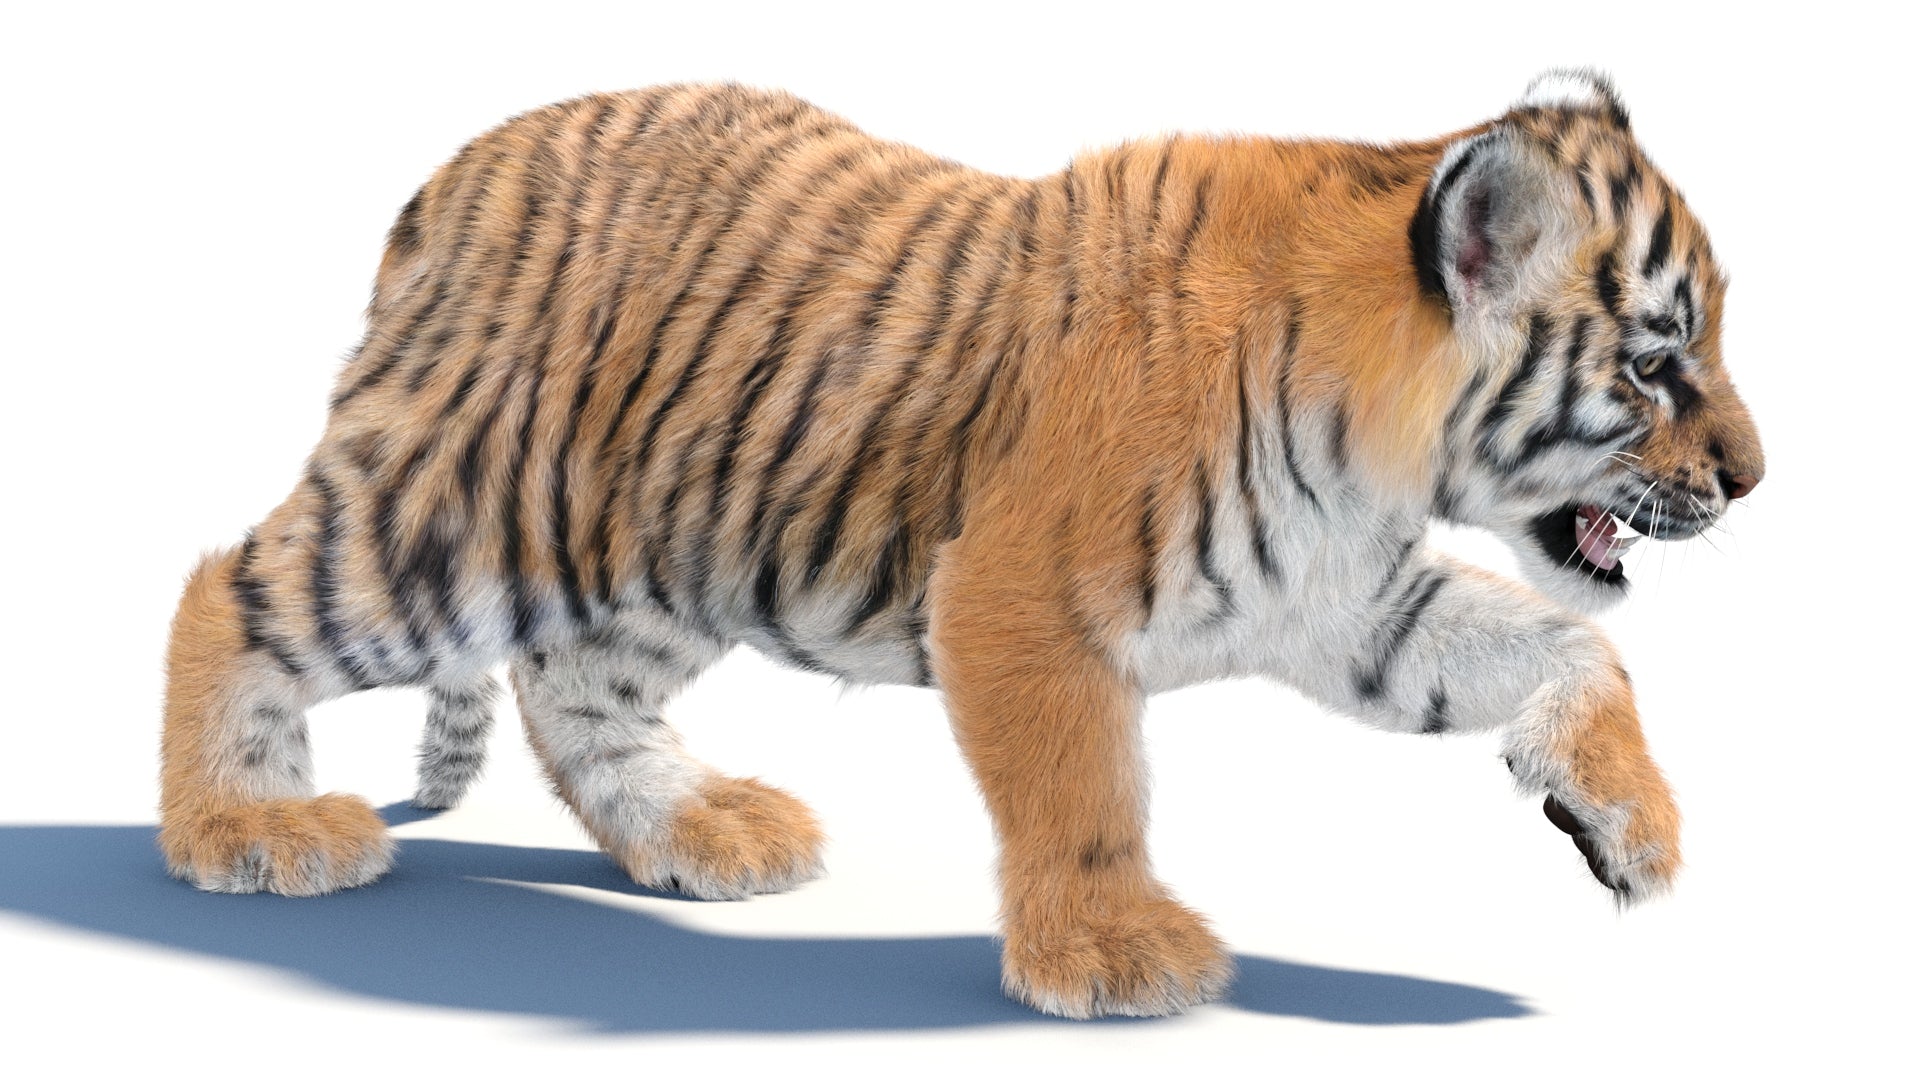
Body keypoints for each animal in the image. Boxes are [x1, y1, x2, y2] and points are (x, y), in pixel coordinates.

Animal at [159, 71, 1763, 1019]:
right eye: (1654, 365)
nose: (1753, 479)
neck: (1377, 437)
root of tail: (457, 174)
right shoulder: (1016, 600)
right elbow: (1085, 790)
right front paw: (1113, 953)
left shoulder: (1351, 602)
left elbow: (1573, 642)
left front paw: (1631, 830)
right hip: (455, 510)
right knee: (224, 591)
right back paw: (243, 833)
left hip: (671, 547)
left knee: (573, 694)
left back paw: (703, 830)